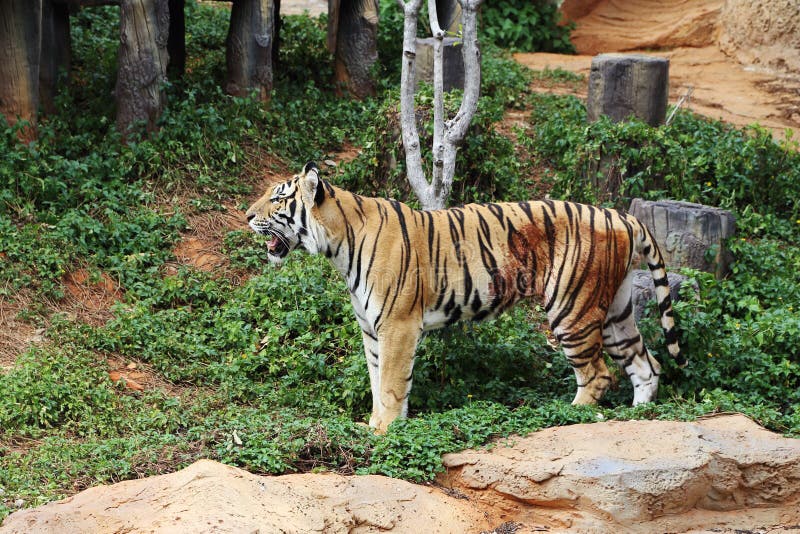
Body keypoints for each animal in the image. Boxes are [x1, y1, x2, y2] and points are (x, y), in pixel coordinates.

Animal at [246, 162, 686, 433]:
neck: (338, 243)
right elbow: (376, 379)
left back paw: (567, 416)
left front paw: (385, 431)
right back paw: (640, 417)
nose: (247, 216)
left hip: (571, 308)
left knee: (598, 374)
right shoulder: (372, 331)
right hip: (614, 311)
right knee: (646, 365)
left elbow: (391, 382)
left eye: (278, 198)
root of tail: (622, 215)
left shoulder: (398, 326)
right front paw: (374, 426)